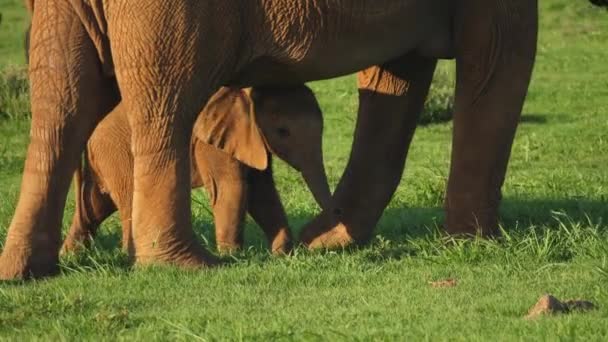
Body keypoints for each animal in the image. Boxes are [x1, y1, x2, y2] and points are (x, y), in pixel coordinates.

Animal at [64, 87, 330, 255]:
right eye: (283, 131)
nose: (309, 240)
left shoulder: (250, 138)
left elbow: (261, 190)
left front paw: (282, 253)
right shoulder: (211, 140)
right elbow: (232, 187)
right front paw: (233, 257)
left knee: (97, 203)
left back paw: (71, 255)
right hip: (116, 151)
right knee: (126, 199)